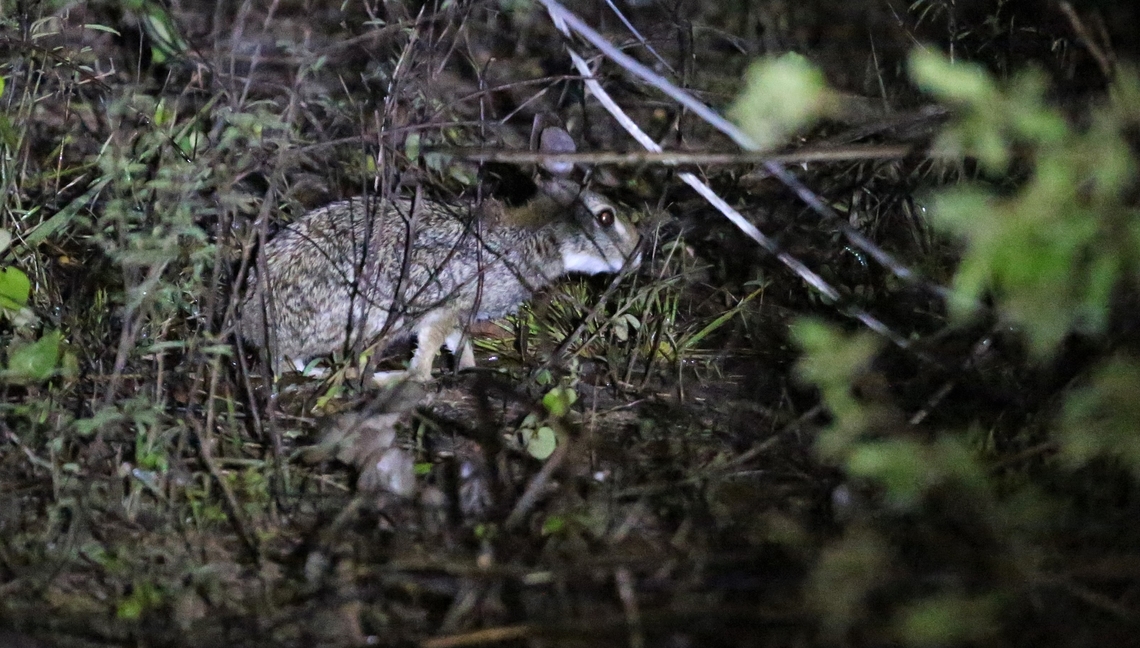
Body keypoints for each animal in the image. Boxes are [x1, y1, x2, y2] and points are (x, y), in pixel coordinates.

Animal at [240, 126, 642, 384]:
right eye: (606, 217)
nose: (637, 255)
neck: (541, 235)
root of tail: (251, 327)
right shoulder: (447, 308)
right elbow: (426, 360)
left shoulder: (463, 314)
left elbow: (460, 346)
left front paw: (469, 369)